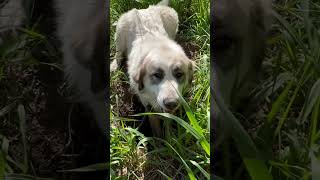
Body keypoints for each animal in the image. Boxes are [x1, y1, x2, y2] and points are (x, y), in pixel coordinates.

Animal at [114, 0, 195, 135]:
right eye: (157, 75)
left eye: (179, 74)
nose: (171, 103)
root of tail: (146, 9)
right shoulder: (148, 103)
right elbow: (155, 125)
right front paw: (158, 139)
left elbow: (168, 123)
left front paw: (169, 138)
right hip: (120, 29)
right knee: (118, 53)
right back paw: (114, 66)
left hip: (172, 18)